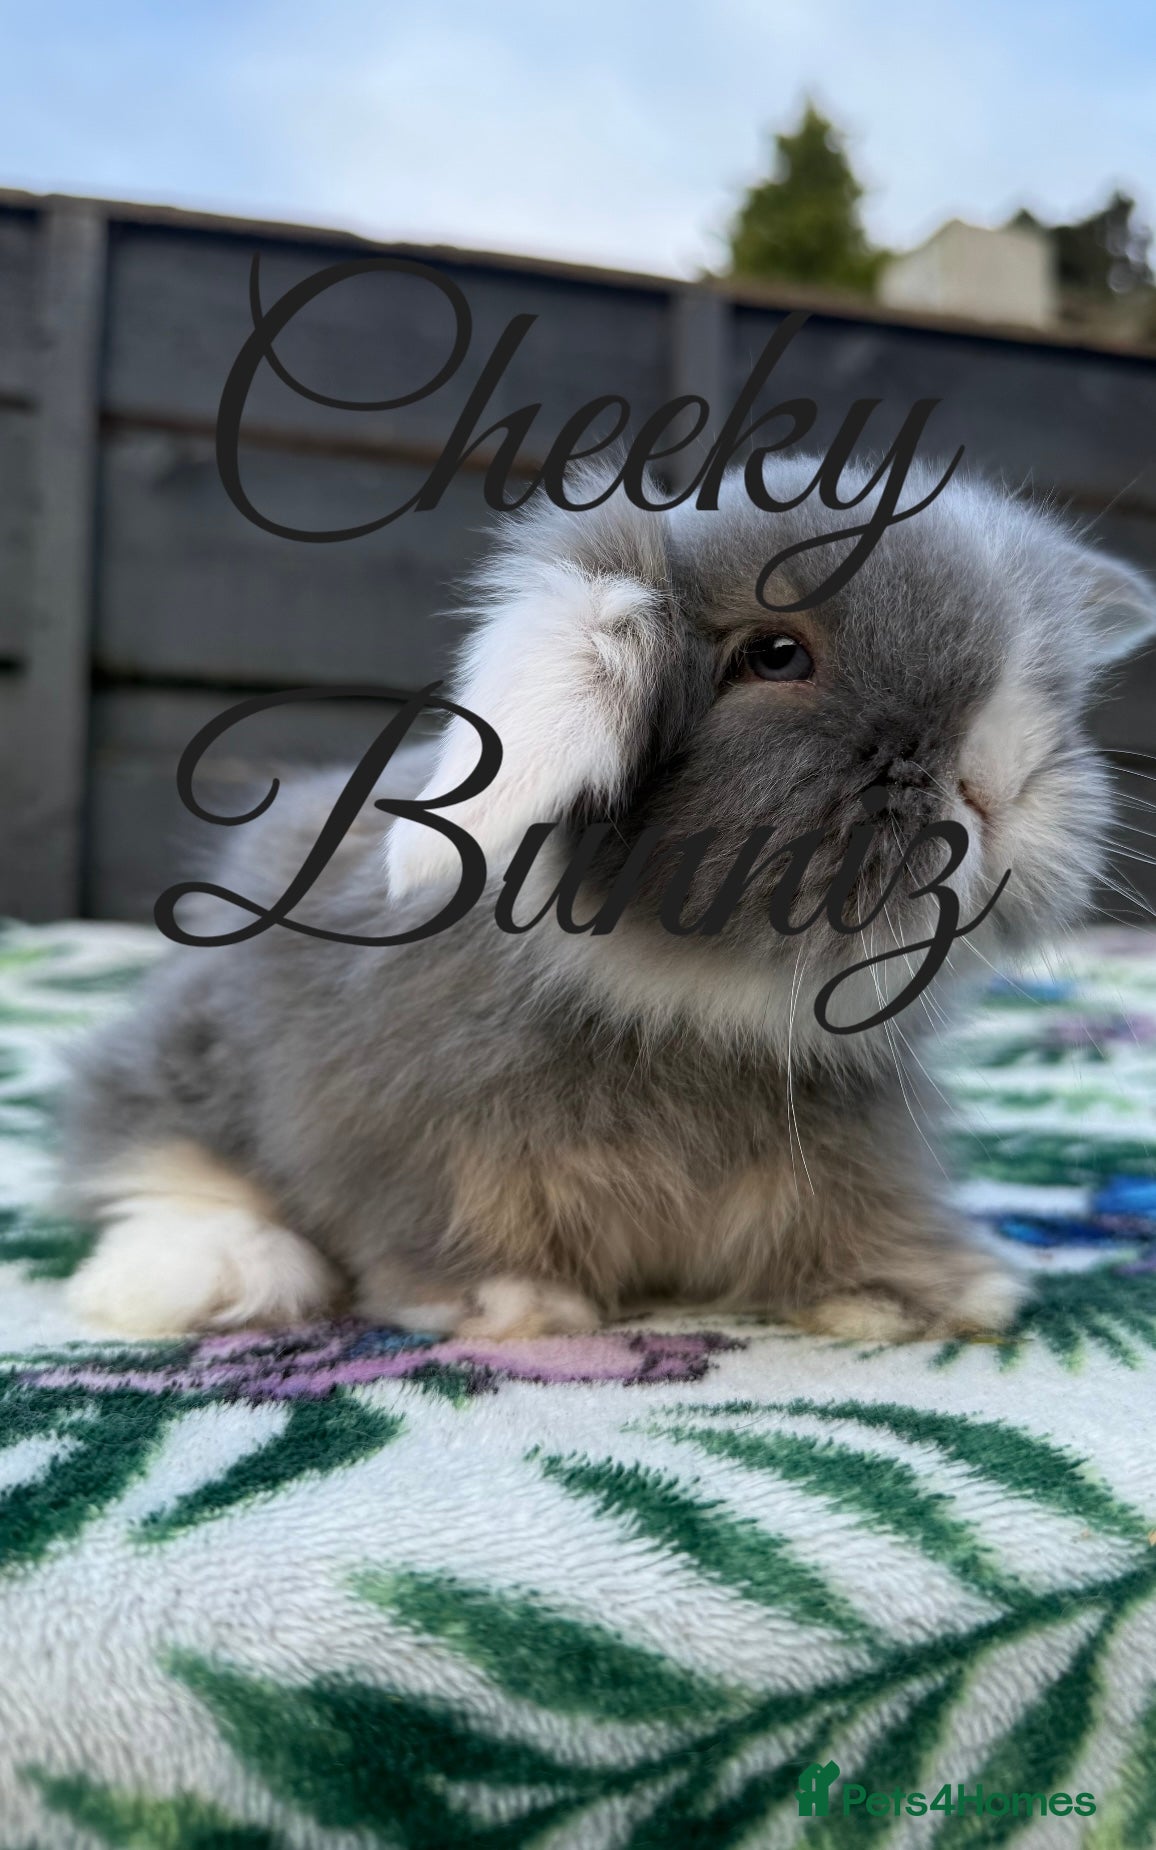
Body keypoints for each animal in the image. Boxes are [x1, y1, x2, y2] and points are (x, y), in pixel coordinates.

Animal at [58, 458, 1156, 1343]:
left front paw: (918, 1294)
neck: (696, 999)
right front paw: (510, 1304)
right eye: (775, 654)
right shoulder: (410, 1135)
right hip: (195, 1043)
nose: (1001, 779)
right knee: (149, 1134)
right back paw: (199, 1280)